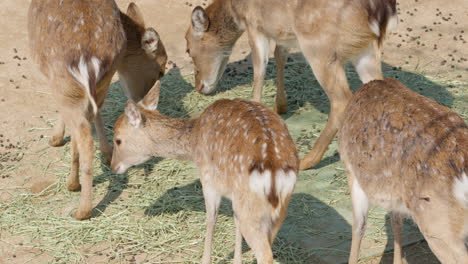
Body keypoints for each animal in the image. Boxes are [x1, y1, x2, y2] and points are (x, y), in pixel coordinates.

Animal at [28, 0, 167, 220]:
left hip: (66, 85)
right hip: (100, 80)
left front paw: (55, 138)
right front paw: (107, 152)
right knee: (92, 114)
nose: (146, 102)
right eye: (161, 69)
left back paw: (79, 203)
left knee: (84, 136)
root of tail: (89, 59)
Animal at [111, 81, 298, 262]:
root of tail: (275, 168)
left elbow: (211, 218)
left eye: (118, 140)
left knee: (265, 255)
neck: (194, 142)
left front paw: (205, 259)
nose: (113, 166)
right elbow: (235, 222)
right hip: (278, 209)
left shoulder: (208, 180)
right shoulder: (235, 197)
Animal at [185, 0, 396, 169]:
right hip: (366, 51)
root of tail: (380, 14)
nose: (199, 87)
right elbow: (279, 54)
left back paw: (307, 161)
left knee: (341, 100)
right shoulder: (282, 33)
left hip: (320, 50)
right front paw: (280, 106)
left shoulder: (254, 25)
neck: (235, 9)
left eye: (188, 47)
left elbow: (259, 69)